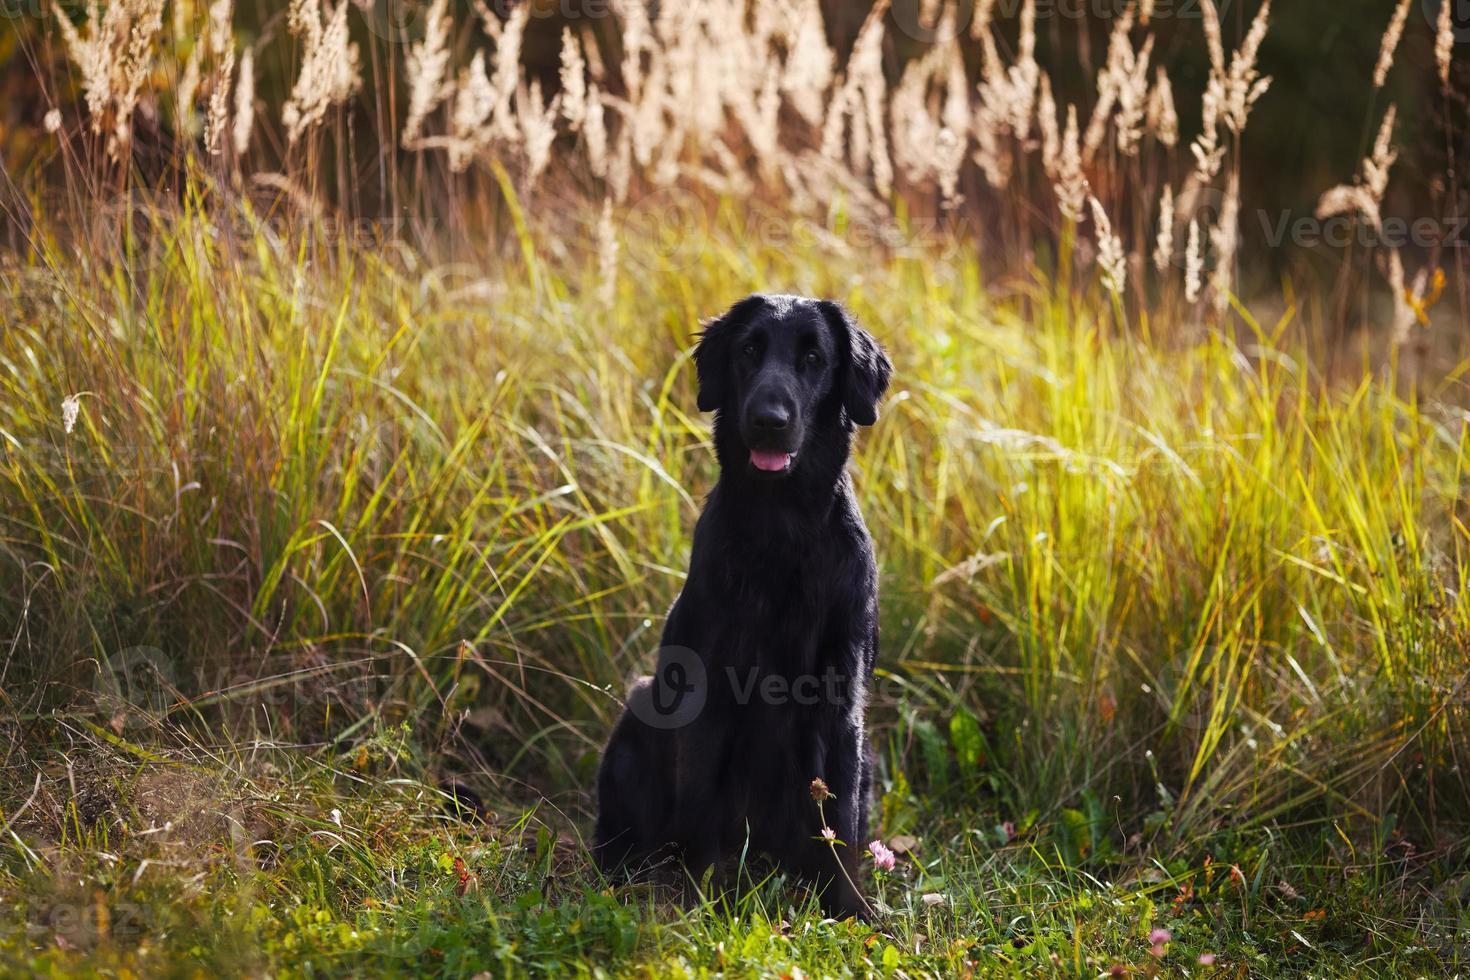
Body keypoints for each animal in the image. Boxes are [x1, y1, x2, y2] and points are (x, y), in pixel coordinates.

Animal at [590, 290, 887, 922]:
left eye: (814, 358)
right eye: (749, 350)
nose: (769, 421)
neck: (783, 530)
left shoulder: (842, 697)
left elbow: (840, 820)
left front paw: (851, 910)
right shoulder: (707, 690)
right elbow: (701, 805)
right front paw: (696, 900)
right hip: (641, 709)